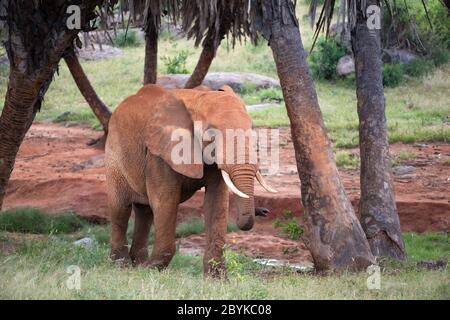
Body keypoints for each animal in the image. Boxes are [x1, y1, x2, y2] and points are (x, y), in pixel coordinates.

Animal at [106, 84, 276, 276]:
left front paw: (217, 279)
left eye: (252, 129)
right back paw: (123, 266)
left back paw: (137, 264)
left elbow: (216, 204)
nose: (264, 211)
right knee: (120, 209)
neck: (197, 99)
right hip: (114, 156)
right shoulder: (160, 154)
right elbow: (166, 203)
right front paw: (150, 270)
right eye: (212, 133)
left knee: (145, 212)